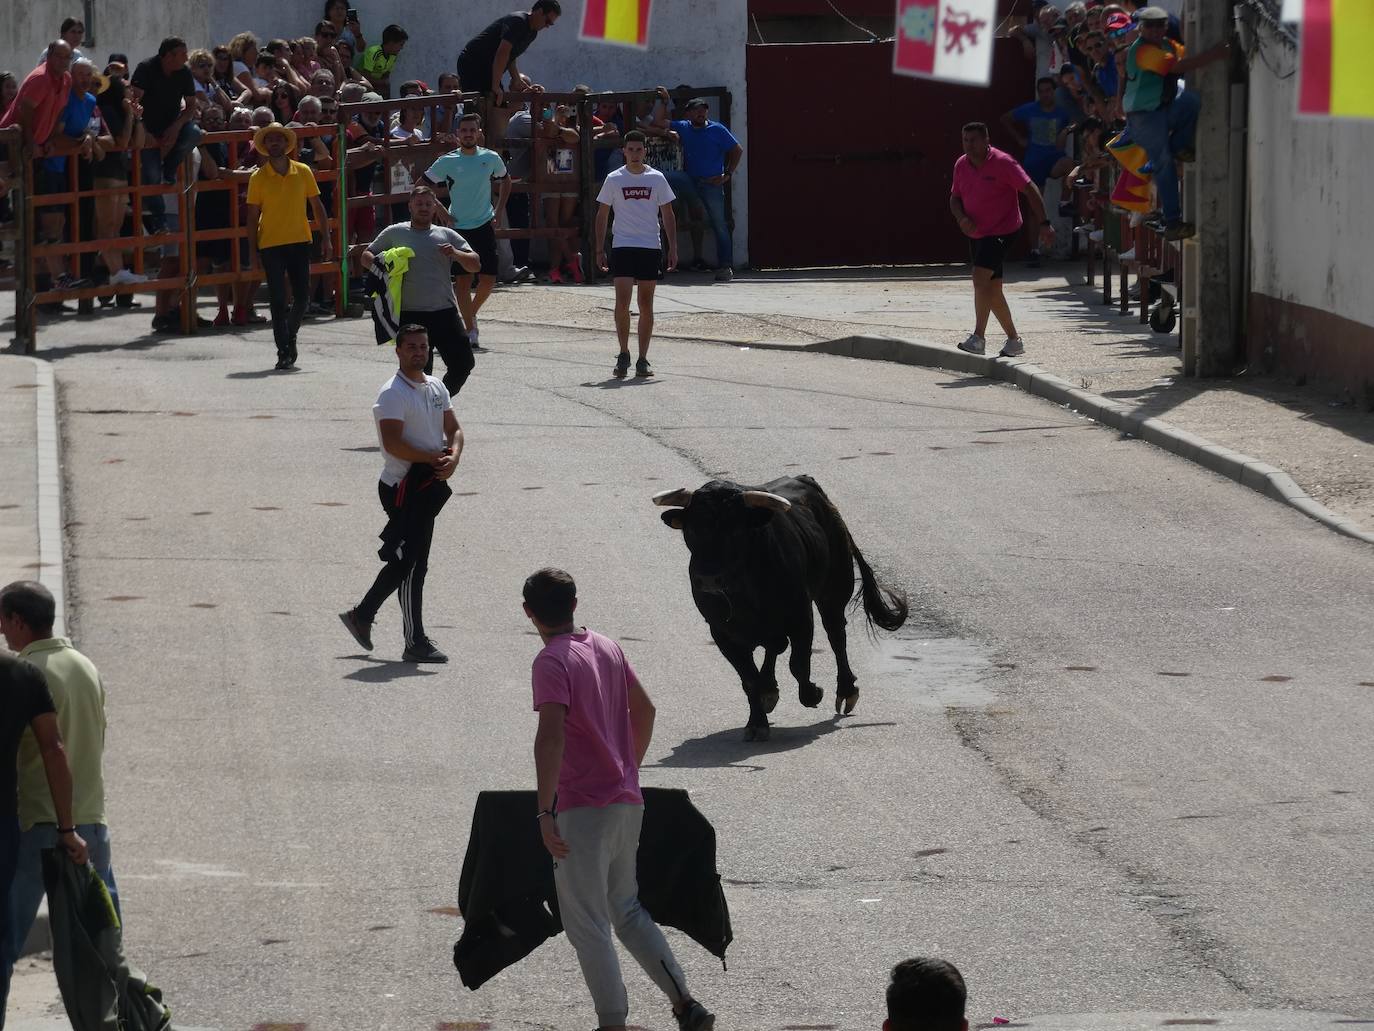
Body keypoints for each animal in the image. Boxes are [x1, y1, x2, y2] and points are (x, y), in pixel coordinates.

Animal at [656, 475, 912, 742]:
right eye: (691, 528)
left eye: (735, 529)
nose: (707, 579)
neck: (744, 589)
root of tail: (803, 479)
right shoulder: (722, 633)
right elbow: (749, 679)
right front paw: (757, 722)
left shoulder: (801, 618)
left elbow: (798, 665)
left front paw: (813, 693)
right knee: (776, 648)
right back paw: (769, 690)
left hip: (834, 592)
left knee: (836, 636)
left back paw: (845, 691)